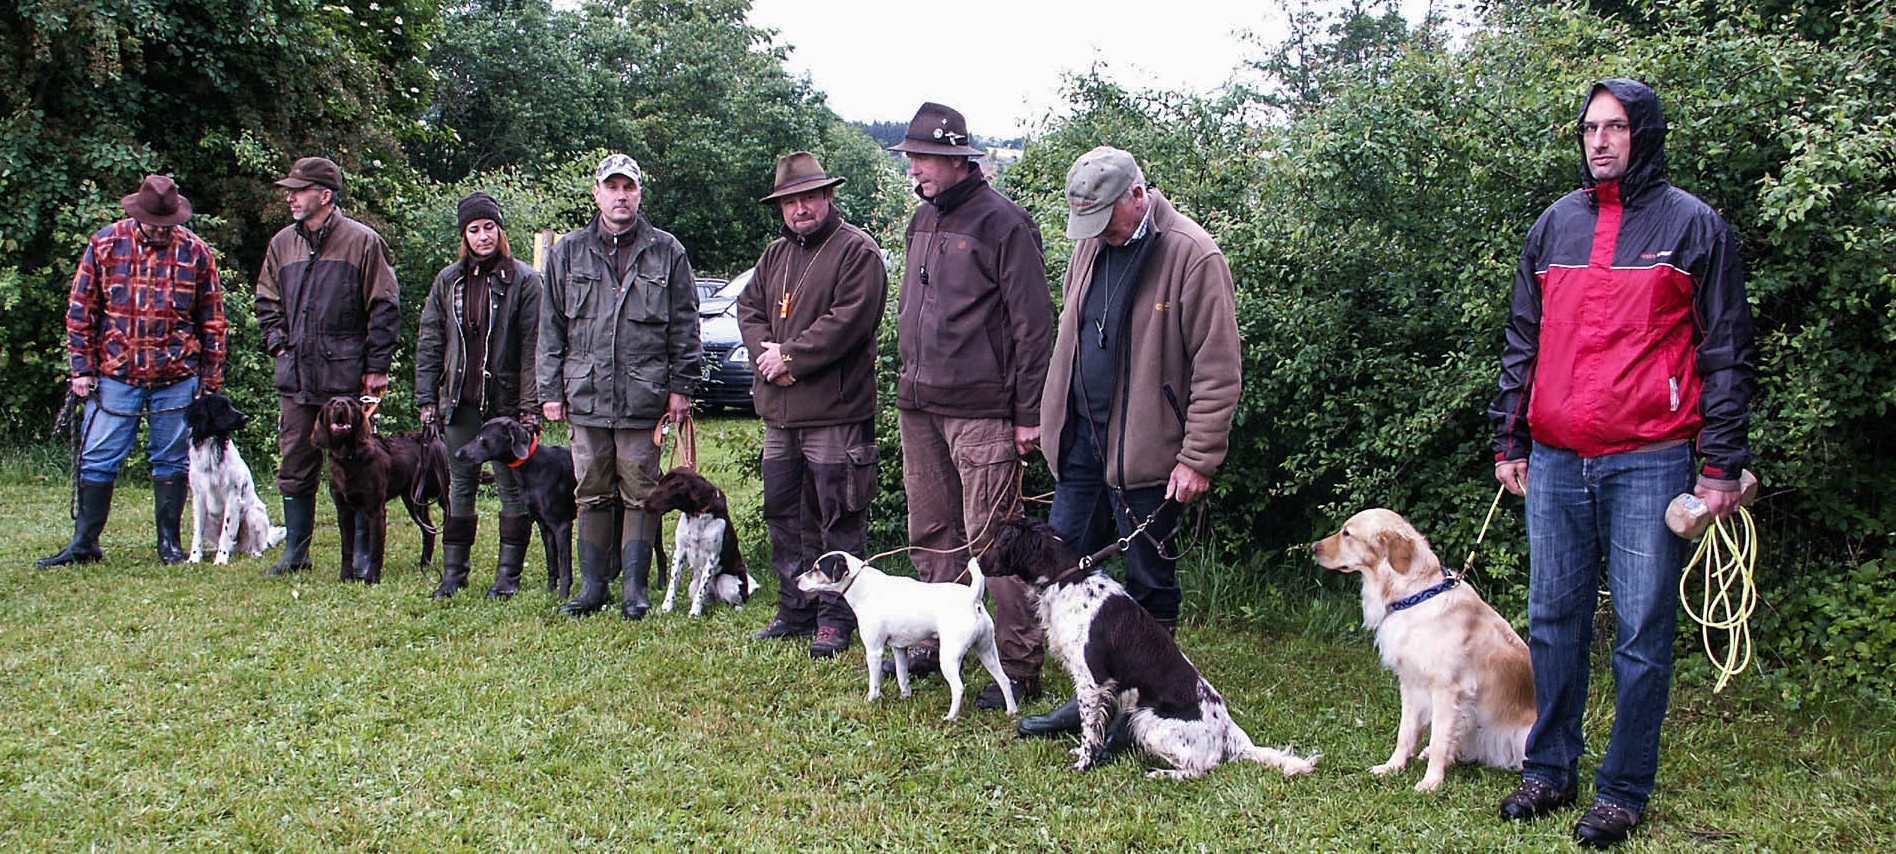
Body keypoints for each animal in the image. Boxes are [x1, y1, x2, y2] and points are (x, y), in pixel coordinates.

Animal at [316, 396, 456, 584]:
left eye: (351, 404)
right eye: (331, 403)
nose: (340, 404)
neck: (349, 457)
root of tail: (433, 437)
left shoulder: (376, 510)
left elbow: (375, 549)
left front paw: (372, 578)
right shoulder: (343, 511)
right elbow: (347, 549)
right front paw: (345, 576)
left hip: (440, 492)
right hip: (413, 500)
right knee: (430, 529)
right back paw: (424, 564)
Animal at [455, 417, 572, 595]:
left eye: (481, 437)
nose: (456, 454)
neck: (533, 465)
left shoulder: (562, 526)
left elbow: (565, 567)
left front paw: (563, 596)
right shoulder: (545, 527)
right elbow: (552, 563)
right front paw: (550, 592)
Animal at [796, 554, 1016, 721]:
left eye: (816, 569)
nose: (796, 580)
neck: (863, 586)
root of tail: (973, 599)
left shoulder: (874, 651)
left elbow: (874, 682)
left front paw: (871, 701)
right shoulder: (899, 648)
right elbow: (902, 676)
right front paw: (905, 697)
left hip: (949, 658)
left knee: (959, 688)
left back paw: (951, 717)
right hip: (987, 651)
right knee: (1004, 680)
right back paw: (1011, 711)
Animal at [985, 512, 1312, 781]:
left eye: (998, 540)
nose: (978, 559)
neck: (1069, 579)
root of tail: (1230, 732)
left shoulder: (1092, 679)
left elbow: (1089, 728)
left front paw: (1083, 764)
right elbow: (1094, 727)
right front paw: (1085, 754)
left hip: (1147, 720)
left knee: (1202, 768)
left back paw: (1160, 774)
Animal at [1319, 508, 1539, 793]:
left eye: (1347, 534)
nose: (1313, 547)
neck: (1414, 595)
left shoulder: (1447, 689)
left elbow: (1438, 740)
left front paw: (1431, 782)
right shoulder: (1411, 684)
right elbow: (1405, 733)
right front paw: (1392, 767)